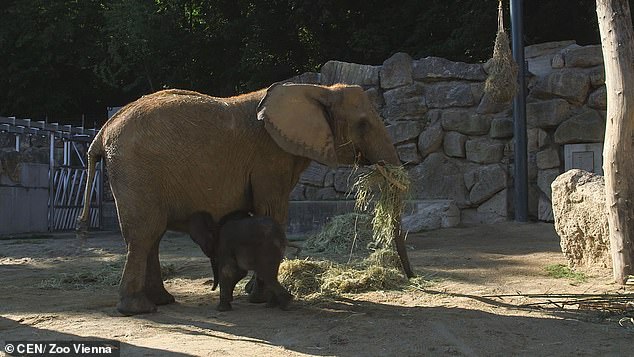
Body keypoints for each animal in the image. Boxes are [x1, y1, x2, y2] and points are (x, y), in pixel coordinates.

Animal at [76, 81, 412, 314]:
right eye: (363, 124)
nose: (411, 278)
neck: (317, 90)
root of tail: (102, 131)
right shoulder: (269, 157)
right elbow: (272, 211)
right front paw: (262, 298)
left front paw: (256, 294)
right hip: (137, 170)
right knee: (144, 233)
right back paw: (139, 309)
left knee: (152, 236)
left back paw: (163, 301)